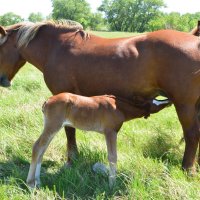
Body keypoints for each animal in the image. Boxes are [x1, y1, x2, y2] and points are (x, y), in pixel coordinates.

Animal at [0, 19, 200, 173]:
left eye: (0, 49)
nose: (2, 81)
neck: (55, 48)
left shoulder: (63, 96)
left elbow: (69, 129)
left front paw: (72, 159)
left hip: (185, 105)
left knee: (191, 135)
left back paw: (188, 169)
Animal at [26, 92, 170, 188]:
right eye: (155, 103)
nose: (168, 100)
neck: (119, 107)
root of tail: (47, 101)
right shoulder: (110, 132)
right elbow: (112, 157)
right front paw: (112, 184)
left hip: (54, 127)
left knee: (42, 149)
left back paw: (38, 181)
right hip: (53, 125)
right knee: (37, 147)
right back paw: (31, 183)